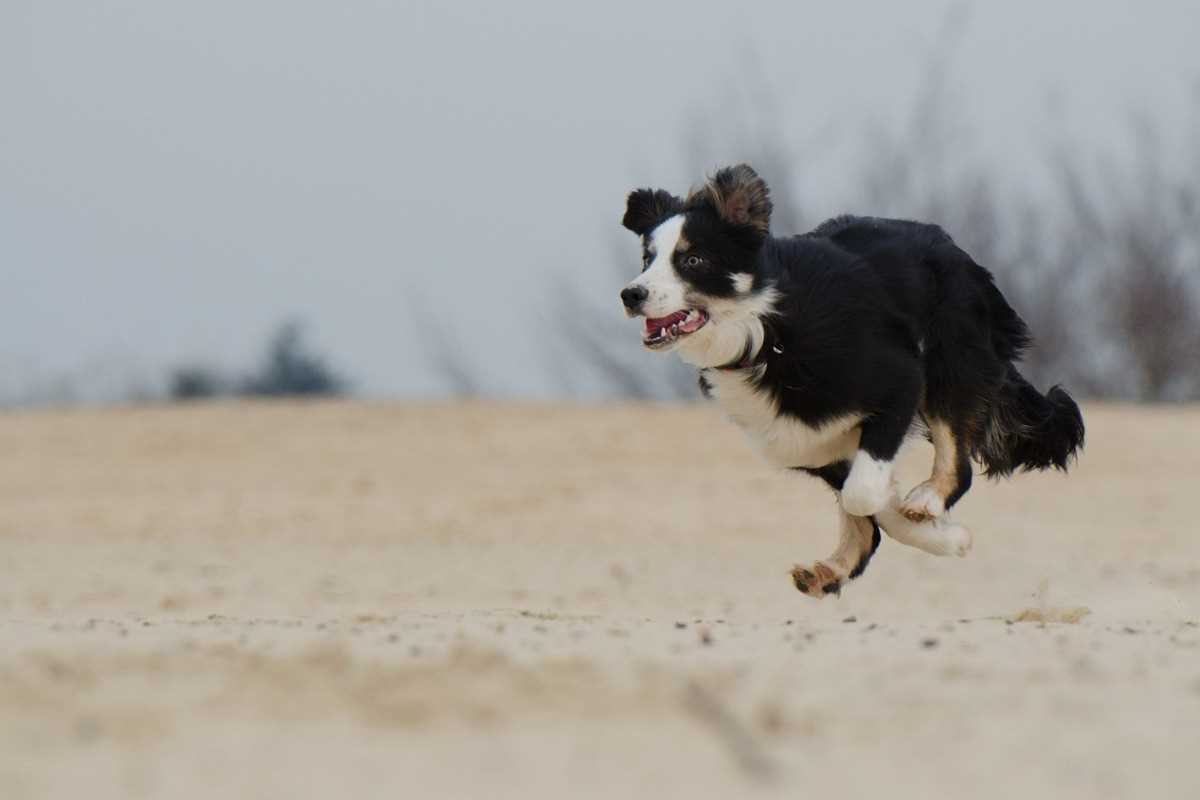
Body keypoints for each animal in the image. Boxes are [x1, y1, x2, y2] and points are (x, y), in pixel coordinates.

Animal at [624, 165, 1084, 597]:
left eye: (692, 260)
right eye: (647, 259)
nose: (630, 295)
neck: (767, 334)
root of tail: (952, 247)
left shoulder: (899, 382)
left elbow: (862, 493)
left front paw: (945, 533)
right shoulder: (799, 440)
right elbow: (864, 501)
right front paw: (942, 536)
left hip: (949, 361)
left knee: (957, 459)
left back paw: (926, 499)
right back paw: (828, 571)